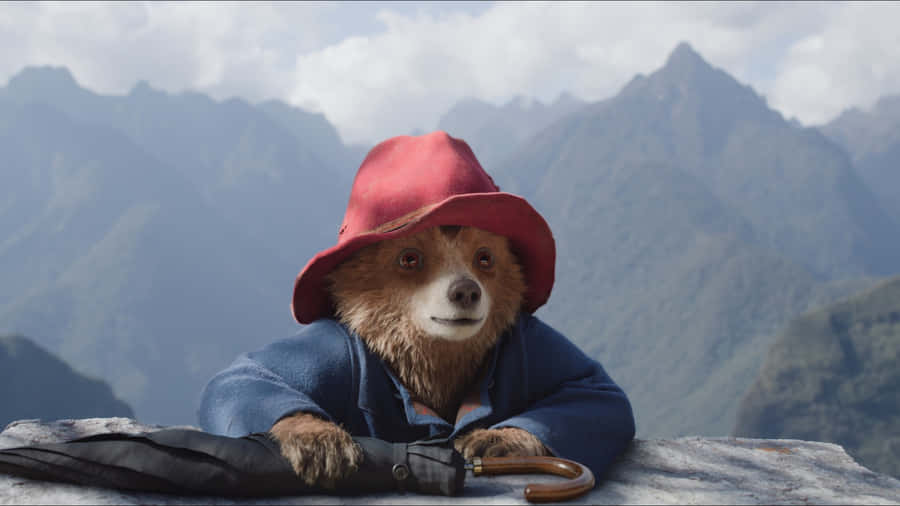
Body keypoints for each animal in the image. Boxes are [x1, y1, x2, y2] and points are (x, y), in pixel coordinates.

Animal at [198, 131, 635, 490]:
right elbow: (246, 377)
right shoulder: (337, 348)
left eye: (485, 256)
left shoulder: (530, 343)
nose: (465, 291)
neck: (433, 367)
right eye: (410, 257)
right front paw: (319, 440)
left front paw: (494, 437)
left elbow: (595, 391)